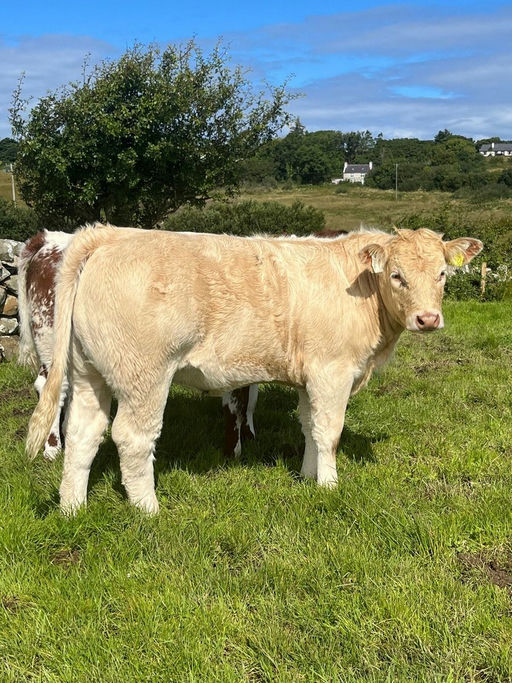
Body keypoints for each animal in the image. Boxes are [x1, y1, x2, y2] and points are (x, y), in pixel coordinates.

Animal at [18, 230, 258, 460]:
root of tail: (51, 238)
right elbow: (235, 403)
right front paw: (233, 451)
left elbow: (250, 398)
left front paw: (249, 434)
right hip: (49, 337)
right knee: (52, 386)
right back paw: (52, 448)